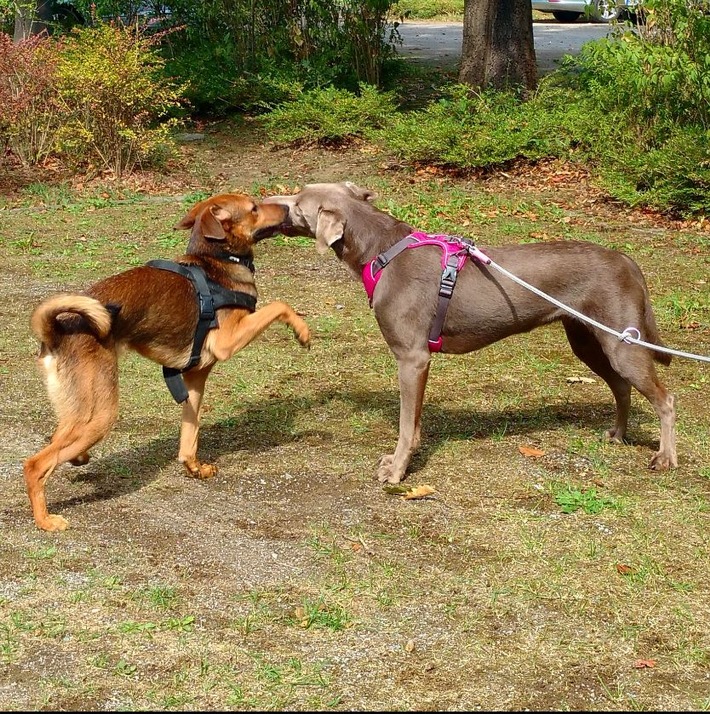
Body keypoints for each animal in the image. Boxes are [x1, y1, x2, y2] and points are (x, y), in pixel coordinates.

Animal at [25, 192, 308, 524]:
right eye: (254, 208)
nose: (288, 207)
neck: (218, 261)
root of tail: (56, 330)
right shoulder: (227, 341)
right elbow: (280, 305)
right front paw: (302, 330)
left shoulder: (194, 378)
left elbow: (190, 434)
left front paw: (194, 467)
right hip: (100, 413)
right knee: (36, 465)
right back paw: (46, 521)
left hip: (79, 409)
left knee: (59, 439)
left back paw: (78, 460)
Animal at [268, 181, 680, 484]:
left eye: (299, 202)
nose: (271, 202)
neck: (382, 250)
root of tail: (626, 259)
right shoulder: (418, 362)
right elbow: (414, 423)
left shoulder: (412, 357)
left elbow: (405, 426)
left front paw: (397, 472)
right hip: (588, 338)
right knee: (621, 385)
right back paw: (618, 434)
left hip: (619, 340)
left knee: (665, 398)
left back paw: (665, 457)